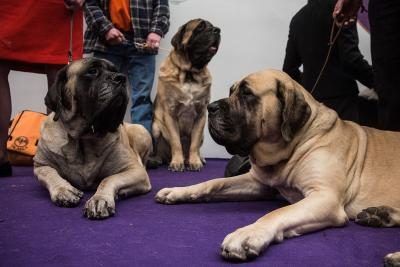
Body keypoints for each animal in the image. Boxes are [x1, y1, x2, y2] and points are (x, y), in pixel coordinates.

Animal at [33, 58, 152, 220]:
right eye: (92, 71)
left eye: (115, 71)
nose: (121, 78)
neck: (84, 137)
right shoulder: (40, 165)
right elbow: (50, 174)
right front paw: (63, 190)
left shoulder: (135, 170)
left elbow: (108, 179)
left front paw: (99, 199)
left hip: (141, 131)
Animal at [153, 18, 222, 172]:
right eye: (200, 28)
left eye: (212, 26)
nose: (217, 30)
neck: (189, 74)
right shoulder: (170, 113)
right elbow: (176, 141)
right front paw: (176, 162)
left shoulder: (201, 115)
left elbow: (194, 144)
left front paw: (195, 161)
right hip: (155, 128)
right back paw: (160, 159)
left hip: (203, 135)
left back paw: (197, 158)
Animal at [156, 69, 400, 266]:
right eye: (231, 90)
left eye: (247, 93)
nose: (210, 107)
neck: (296, 143)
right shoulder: (258, 183)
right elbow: (214, 183)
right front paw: (179, 191)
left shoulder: (324, 197)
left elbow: (277, 212)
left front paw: (247, 234)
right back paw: (380, 215)